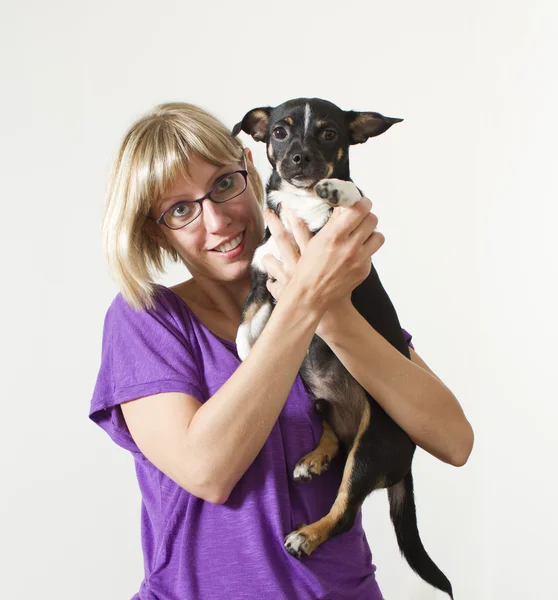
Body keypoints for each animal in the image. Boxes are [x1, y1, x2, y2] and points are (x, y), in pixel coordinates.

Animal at [234, 96, 452, 596]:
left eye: (330, 133)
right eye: (279, 131)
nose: (299, 158)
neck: (299, 210)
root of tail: (404, 464)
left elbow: (354, 196)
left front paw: (335, 189)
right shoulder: (263, 283)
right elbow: (245, 326)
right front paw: (246, 356)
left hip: (371, 446)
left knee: (346, 509)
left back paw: (308, 535)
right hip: (321, 403)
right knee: (332, 428)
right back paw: (317, 457)